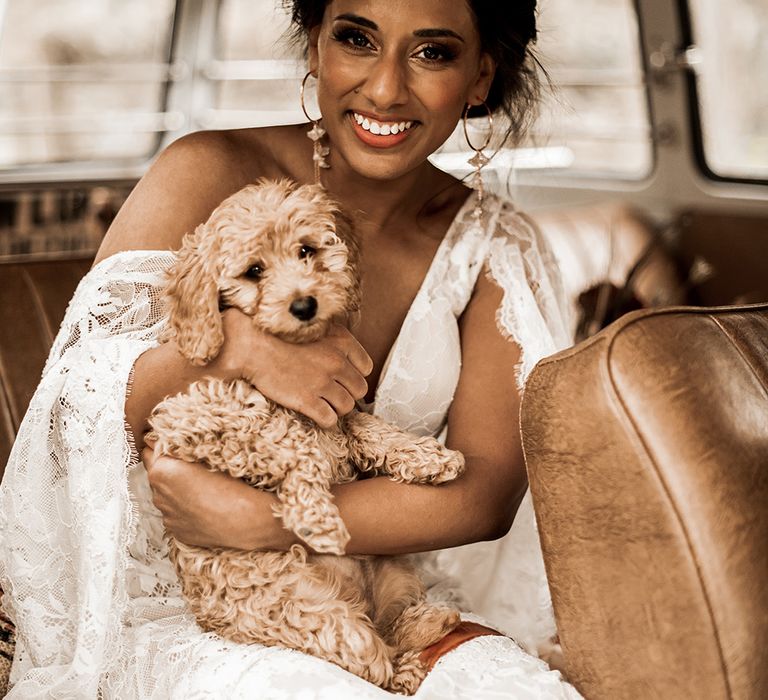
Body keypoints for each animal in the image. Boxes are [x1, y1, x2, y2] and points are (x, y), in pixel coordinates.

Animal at [147, 178, 464, 692]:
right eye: (254, 271)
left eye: (306, 250)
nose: (303, 304)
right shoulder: (192, 419)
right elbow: (286, 440)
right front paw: (318, 516)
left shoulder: (342, 408)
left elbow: (370, 428)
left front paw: (429, 457)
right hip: (312, 616)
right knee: (371, 657)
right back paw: (406, 658)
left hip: (396, 570)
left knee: (392, 628)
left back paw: (429, 625)